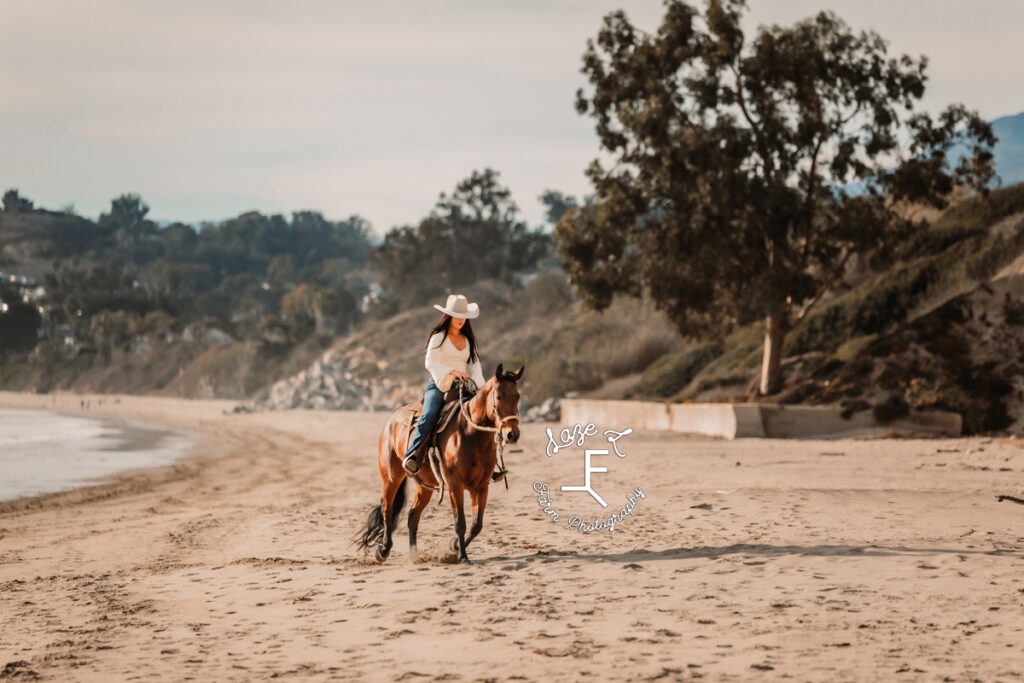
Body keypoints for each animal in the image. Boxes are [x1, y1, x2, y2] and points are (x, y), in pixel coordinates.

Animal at [356, 366, 524, 565]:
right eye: (498, 396)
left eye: (518, 396)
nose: (512, 434)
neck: (471, 435)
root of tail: (391, 419)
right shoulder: (455, 485)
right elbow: (460, 523)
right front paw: (462, 556)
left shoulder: (481, 486)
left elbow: (476, 525)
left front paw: (454, 546)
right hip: (391, 477)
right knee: (387, 510)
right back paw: (383, 550)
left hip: (425, 486)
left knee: (413, 515)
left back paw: (415, 554)